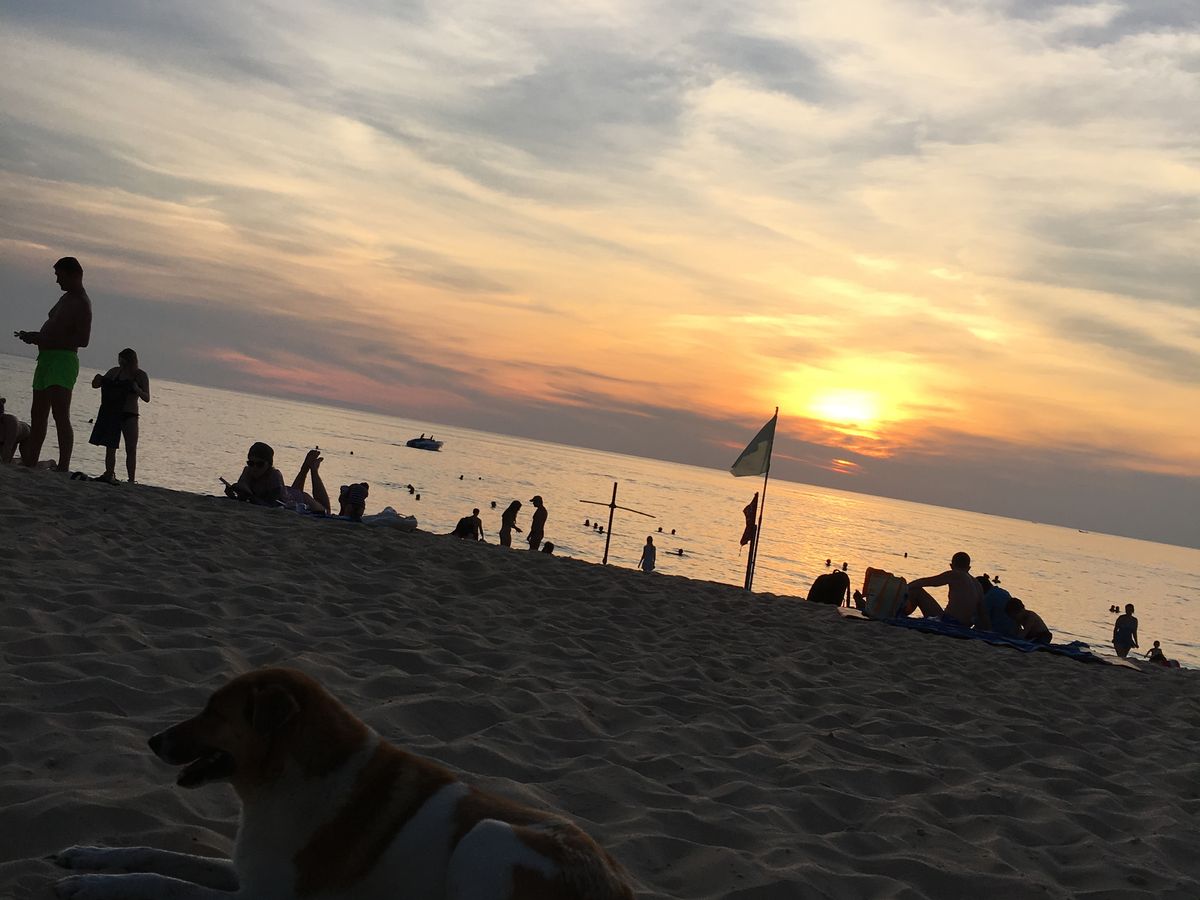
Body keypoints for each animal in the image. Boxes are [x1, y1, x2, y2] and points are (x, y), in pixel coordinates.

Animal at [53, 667, 635, 900]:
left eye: (213, 712)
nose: (152, 741)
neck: (279, 782)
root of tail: (620, 886)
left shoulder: (262, 898)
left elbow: (164, 882)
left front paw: (95, 886)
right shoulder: (249, 869)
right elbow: (161, 855)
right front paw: (88, 857)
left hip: (487, 835)